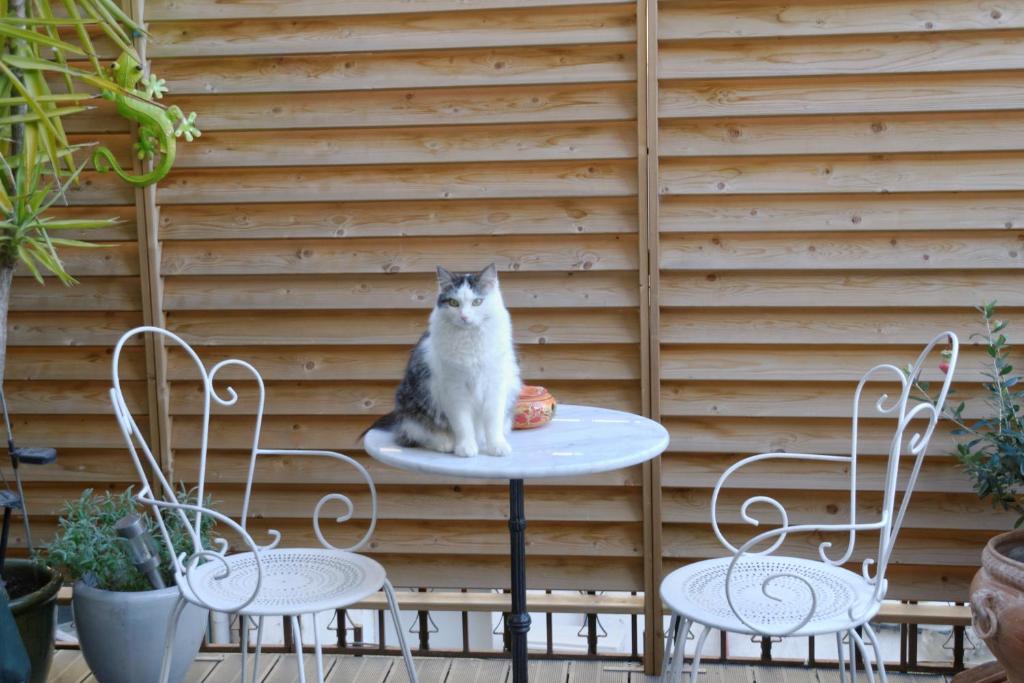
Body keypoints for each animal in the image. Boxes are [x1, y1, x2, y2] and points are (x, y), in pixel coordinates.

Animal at [366, 264, 520, 456]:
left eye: (477, 302)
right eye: (453, 303)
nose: (464, 317)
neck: (469, 341)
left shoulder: (495, 386)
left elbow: (493, 423)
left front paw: (496, 446)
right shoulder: (454, 389)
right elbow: (463, 424)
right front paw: (465, 448)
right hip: (412, 407)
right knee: (416, 436)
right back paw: (446, 443)